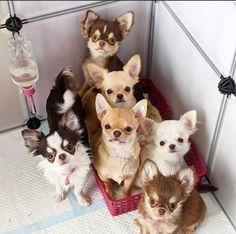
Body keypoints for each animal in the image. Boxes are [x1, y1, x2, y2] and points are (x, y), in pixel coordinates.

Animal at [21, 67, 91, 207]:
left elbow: (78, 189)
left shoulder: (81, 173)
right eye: (49, 156)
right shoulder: (55, 175)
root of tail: (59, 88)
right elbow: (58, 185)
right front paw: (59, 194)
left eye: (70, 147)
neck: (66, 170)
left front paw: (81, 200)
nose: (61, 155)